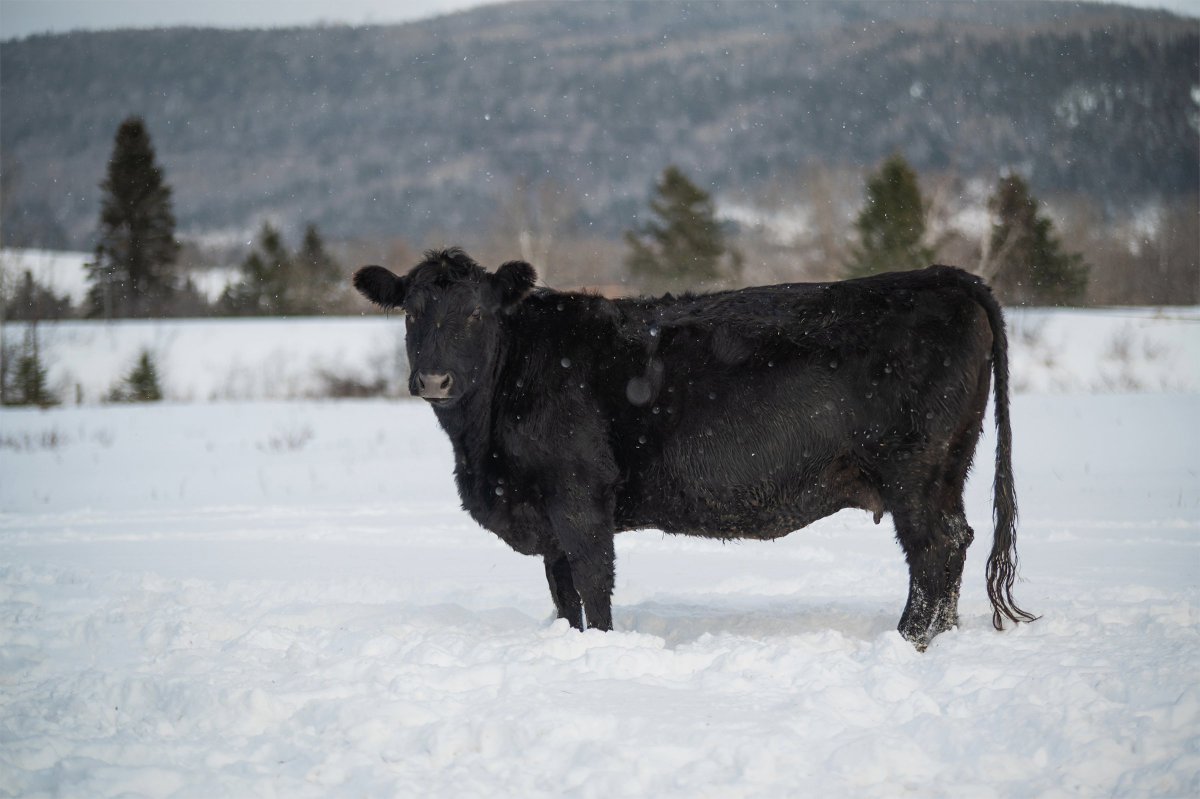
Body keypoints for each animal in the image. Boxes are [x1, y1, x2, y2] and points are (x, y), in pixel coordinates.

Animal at [353, 248, 1037, 650]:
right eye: (411, 313)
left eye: (474, 314)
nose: (433, 379)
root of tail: (943, 276)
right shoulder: (547, 517)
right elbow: (563, 593)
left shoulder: (579, 497)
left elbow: (594, 584)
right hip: (948, 465)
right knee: (953, 545)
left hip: (914, 469)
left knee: (935, 549)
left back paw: (906, 642)